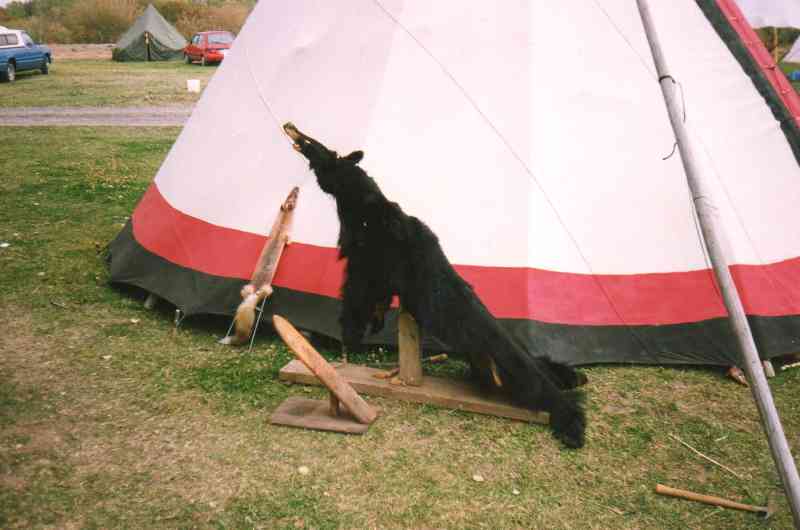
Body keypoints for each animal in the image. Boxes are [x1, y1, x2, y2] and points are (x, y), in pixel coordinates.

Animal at [283, 122, 586, 448]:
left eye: (314, 144)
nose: (291, 128)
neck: (362, 207)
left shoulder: (368, 263)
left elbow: (357, 297)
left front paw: (350, 336)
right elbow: (376, 299)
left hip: (504, 366)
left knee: (541, 390)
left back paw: (571, 423)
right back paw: (572, 378)